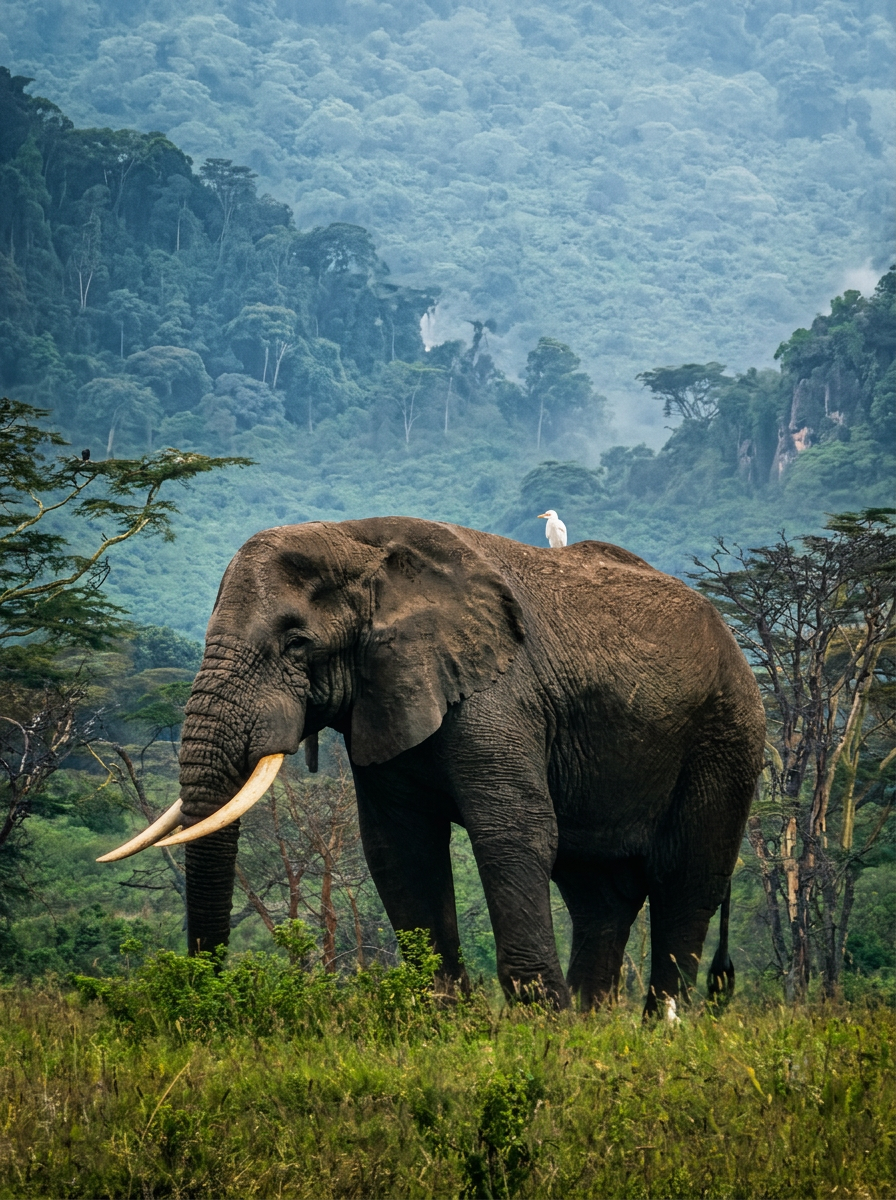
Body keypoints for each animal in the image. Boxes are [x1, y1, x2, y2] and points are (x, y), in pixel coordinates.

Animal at [101, 517, 765, 1012]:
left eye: (296, 644)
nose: (206, 994)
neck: (358, 543)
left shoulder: (499, 694)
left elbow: (513, 832)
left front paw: (538, 1031)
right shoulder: (383, 699)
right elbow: (399, 848)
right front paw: (448, 1022)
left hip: (726, 735)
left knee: (686, 880)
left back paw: (652, 1028)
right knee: (597, 894)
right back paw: (591, 1028)